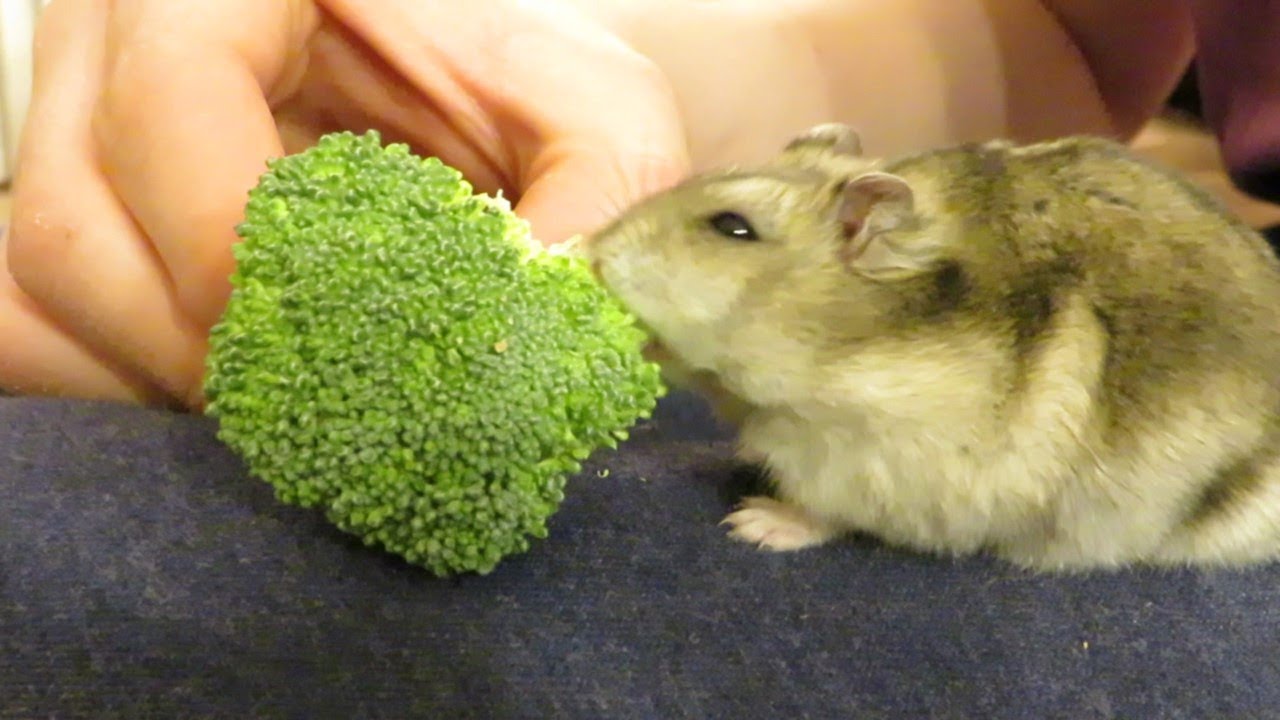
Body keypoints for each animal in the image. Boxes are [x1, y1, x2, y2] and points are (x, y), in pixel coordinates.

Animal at [584, 122, 1280, 572]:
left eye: (732, 227)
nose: (592, 253)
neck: (836, 355)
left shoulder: (865, 464)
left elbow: (822, 513)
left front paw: (751, 523)